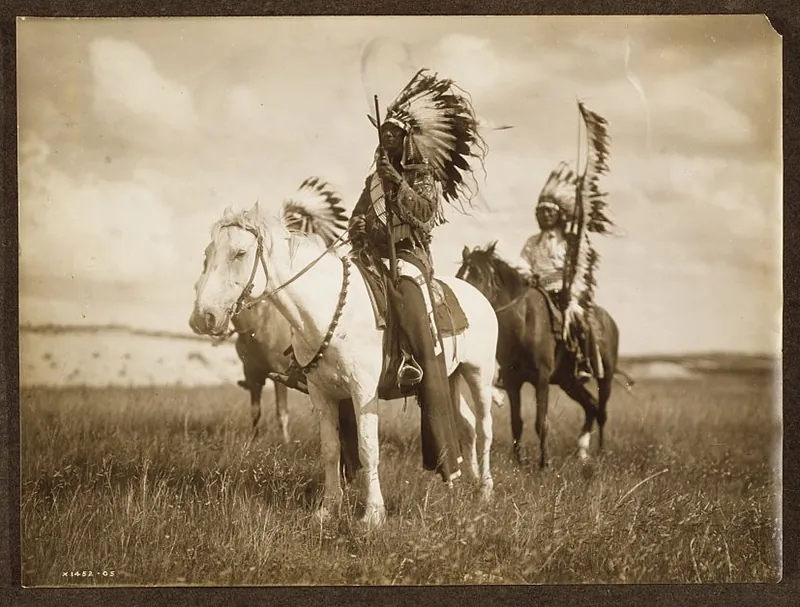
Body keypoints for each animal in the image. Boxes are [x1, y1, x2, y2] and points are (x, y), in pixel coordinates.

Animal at [189, 202, 499, 529]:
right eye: (208, 254)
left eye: (239, 253)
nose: (203, 317)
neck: (327, 310)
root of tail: (479, 296)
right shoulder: (322, 394)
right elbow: (330, 450)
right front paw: (328, 508)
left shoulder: (363, 393)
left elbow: (367, 449)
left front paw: (373, 515)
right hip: (451, 378)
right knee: (467, 425)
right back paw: (467, 480)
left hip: (479, 375)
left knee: (484, 427)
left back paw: (485, 490)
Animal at [456, 242, 626, 468]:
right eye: (459, 275)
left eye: (479, 276)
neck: (524, 322)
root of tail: (609, 321)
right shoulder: (512, 381)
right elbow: (516, 423)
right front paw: (518, 462)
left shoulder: (541, 379)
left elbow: (541, 422)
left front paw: (544, 463)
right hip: (568, 382)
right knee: (591, 406)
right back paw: (582, 452)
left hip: (604, 378)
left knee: (602, 411)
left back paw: (601, 451)